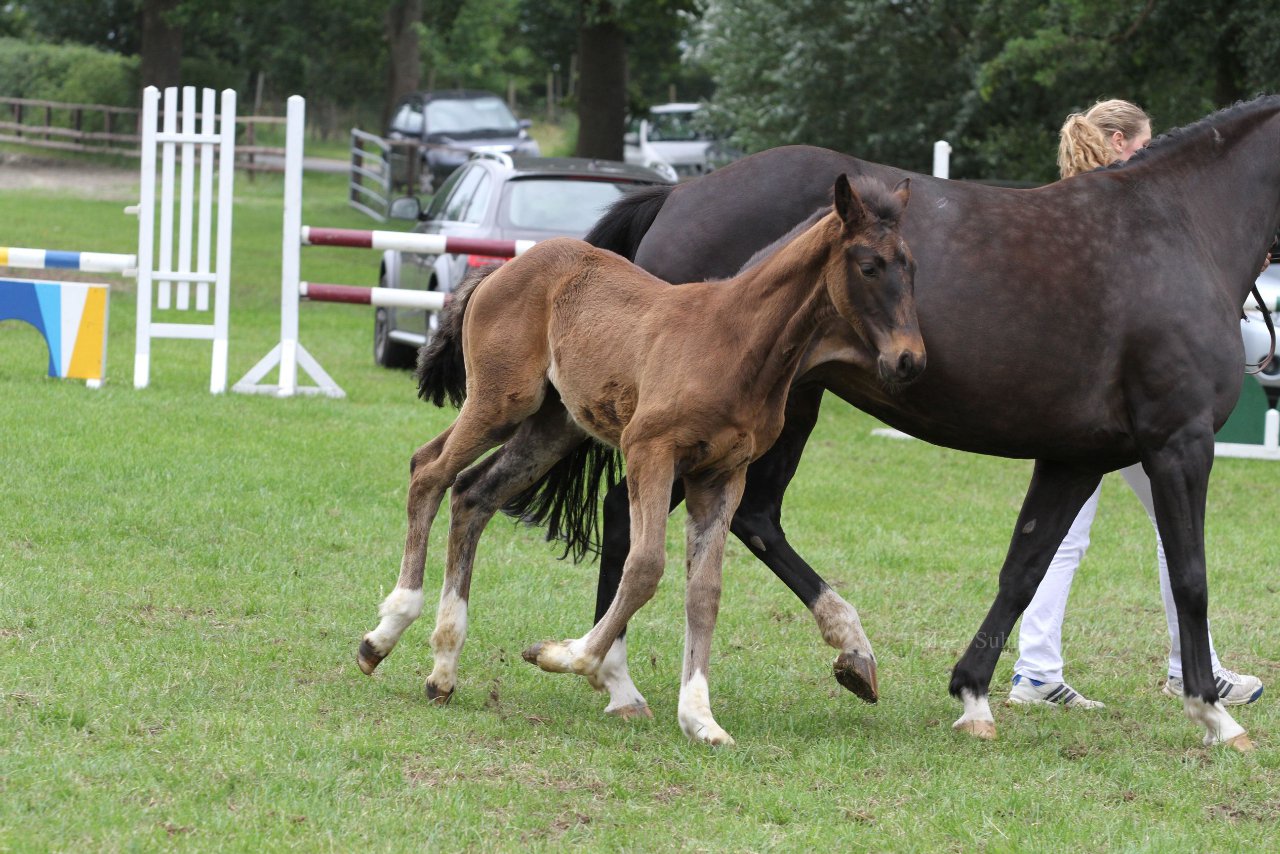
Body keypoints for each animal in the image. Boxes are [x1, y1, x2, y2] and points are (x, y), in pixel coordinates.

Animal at [355, 175, 926, 747]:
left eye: (912, 266)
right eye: (869, 266)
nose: (910, 360)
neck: (736, 341)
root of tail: (503, 269)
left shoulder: (722, 473)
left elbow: (705, 590)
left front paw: (700, 717)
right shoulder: (649, 449)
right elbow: (646, 566)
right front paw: (565, 656)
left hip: (550, 425)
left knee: (473, 492)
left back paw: (442, 668)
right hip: (501, 403)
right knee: (429, 472)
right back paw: (383, 634)